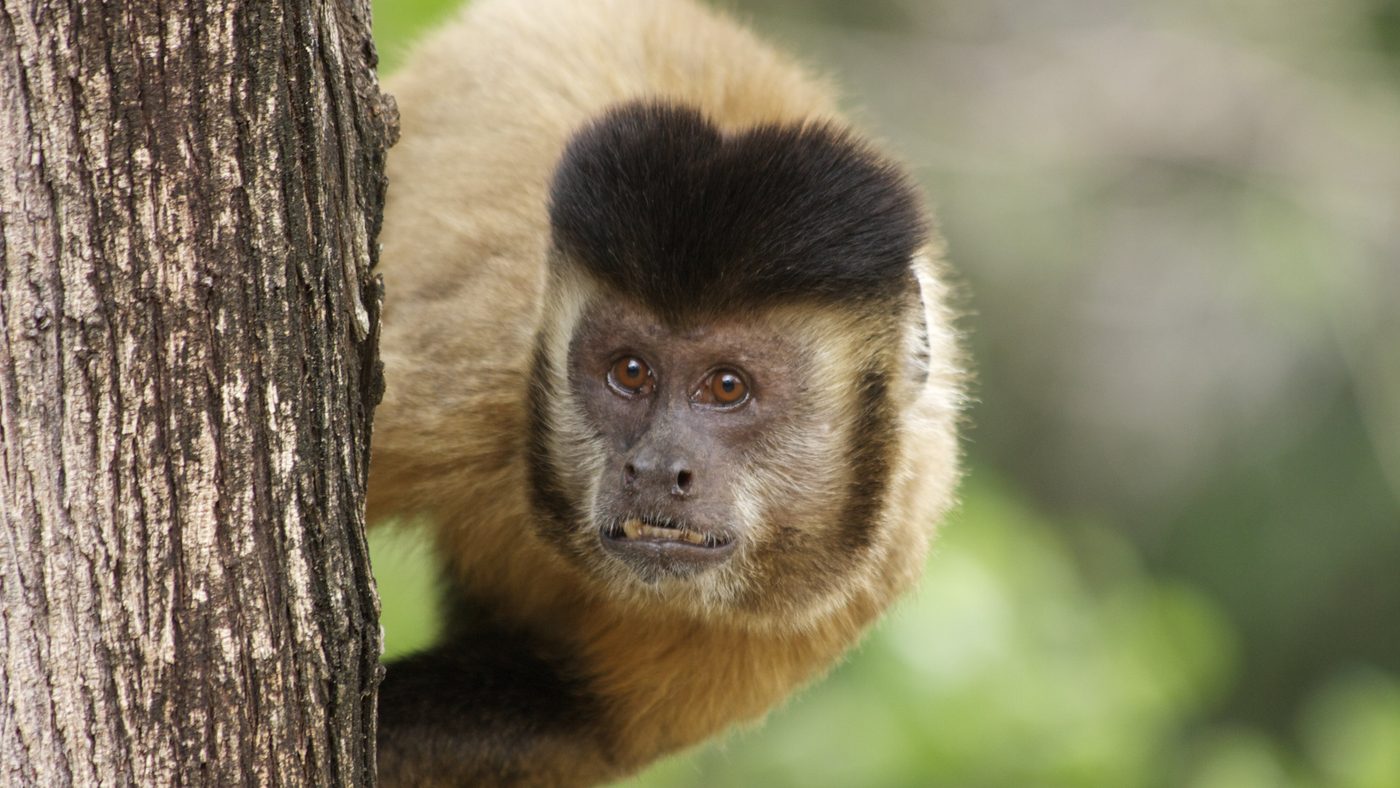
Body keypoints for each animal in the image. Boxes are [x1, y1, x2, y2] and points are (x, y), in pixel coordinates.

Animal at [367, 0, 964, 785]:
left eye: (727, 386)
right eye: (630, 372)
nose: (655, 469)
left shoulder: (860, 573)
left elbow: (565, 719)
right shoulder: (472, 378)